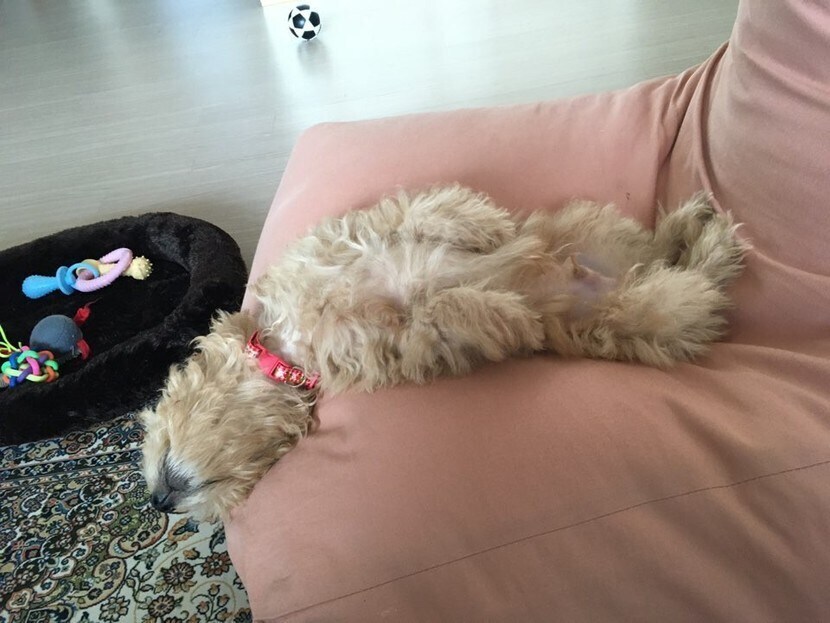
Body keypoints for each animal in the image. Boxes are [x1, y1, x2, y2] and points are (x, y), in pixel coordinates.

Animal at [140, 185, 748, 521]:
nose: (156, 504)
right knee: (686, 279)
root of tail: (621, 276)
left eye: (156, 425)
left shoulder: (345, 237)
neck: (285, 342)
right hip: (646, 311)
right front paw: (507, 311)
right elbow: (446, 313)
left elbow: (420, 212)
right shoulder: (406, 343)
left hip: (593, 235)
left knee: (676, 258)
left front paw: (483, 227)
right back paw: (706, 231)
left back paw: (706, 224)